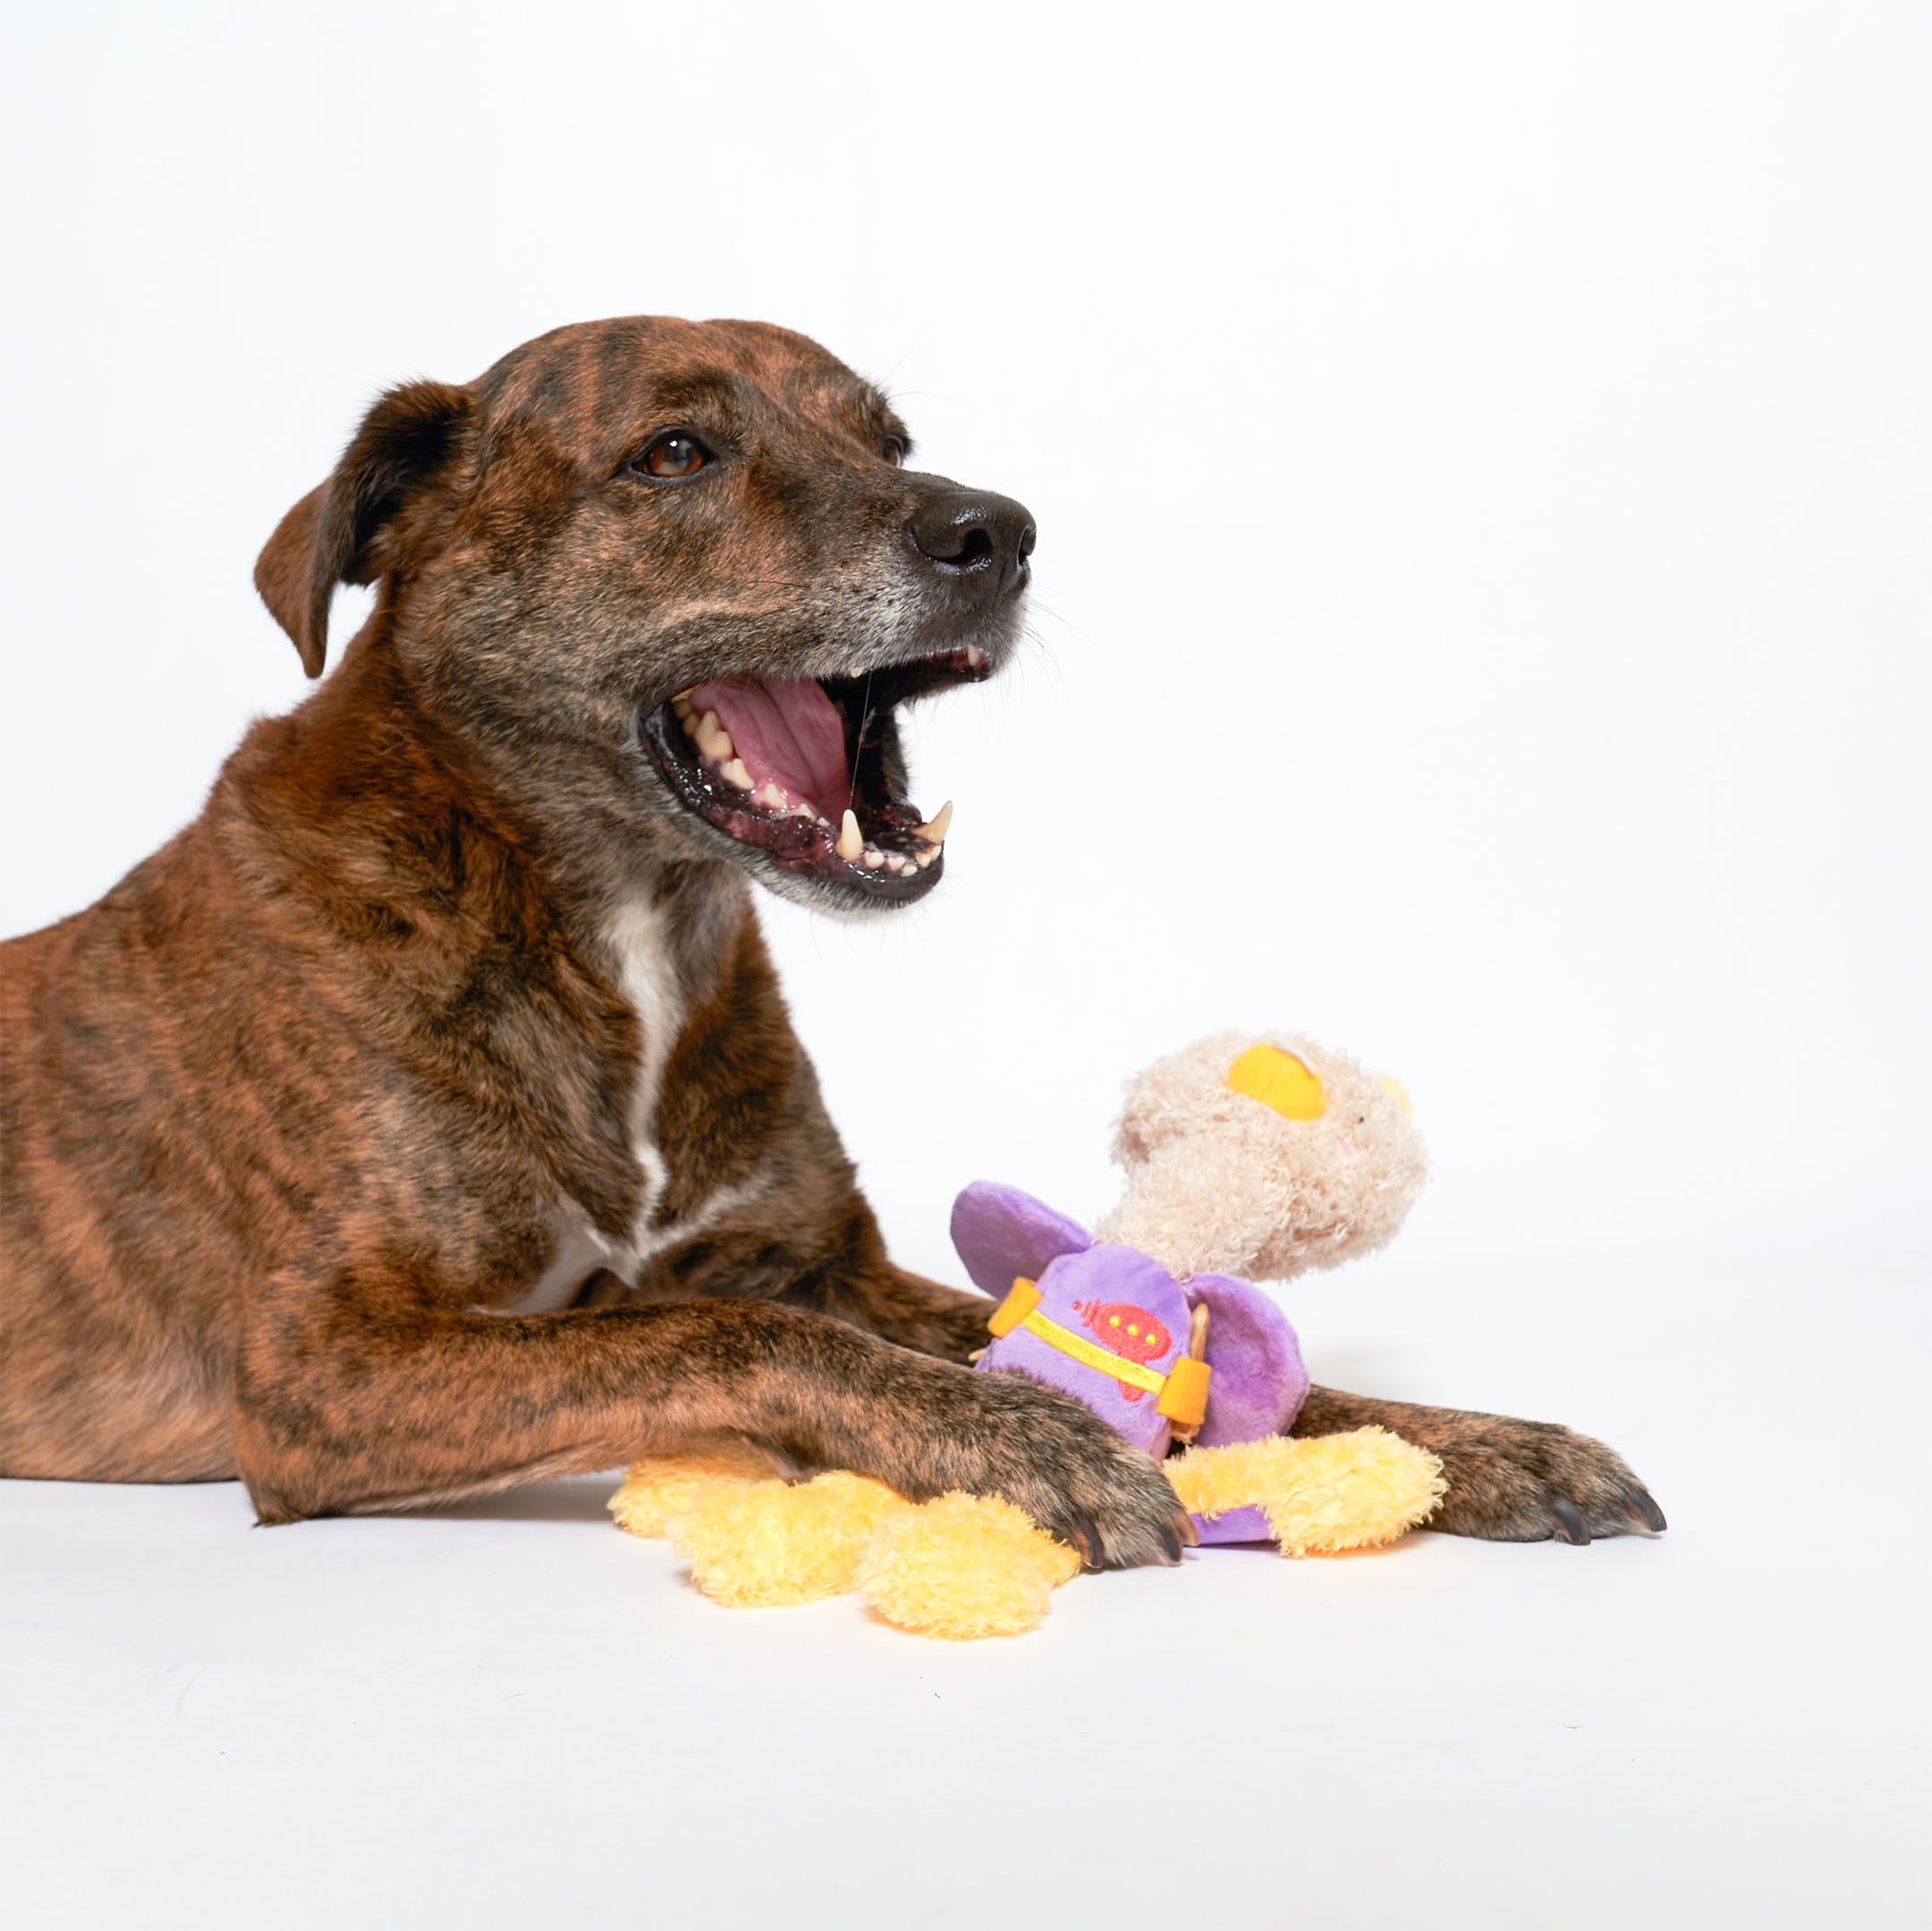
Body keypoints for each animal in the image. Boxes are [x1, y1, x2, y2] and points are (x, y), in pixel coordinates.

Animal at [0, 312, 1661, 1552]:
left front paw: (1474, 1439)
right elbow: (705, 1333)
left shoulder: (824, 1261)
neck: (617, 918)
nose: (1002, 529)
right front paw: (1018, 1434)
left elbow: (1215, 1364)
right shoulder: (322, 1370)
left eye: (892, 440)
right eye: (675, 452)